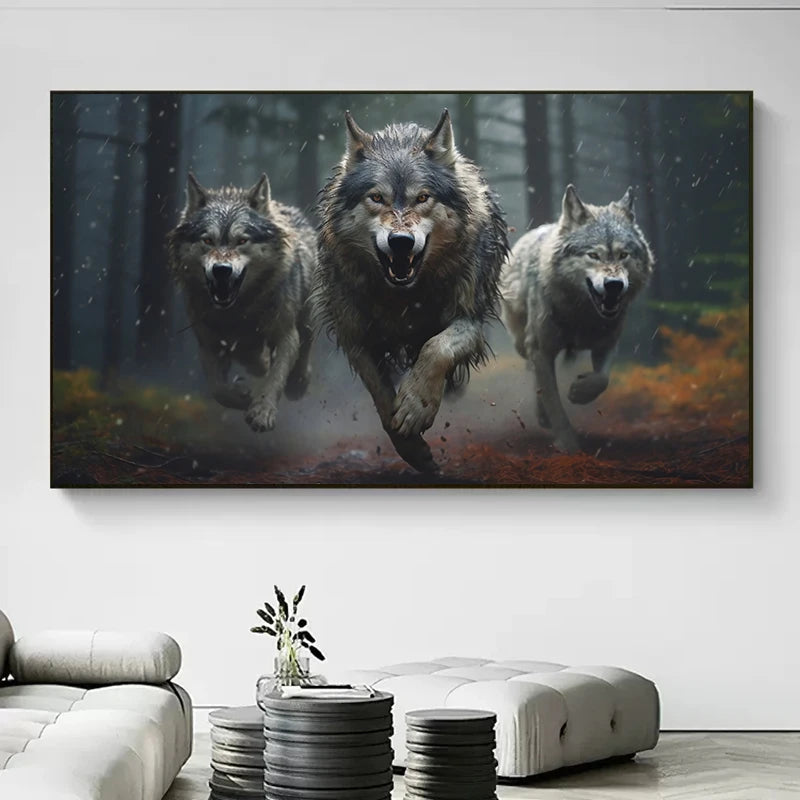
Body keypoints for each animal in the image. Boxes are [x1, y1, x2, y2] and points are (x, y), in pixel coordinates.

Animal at [167, 172, 315, 432]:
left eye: (242, 241)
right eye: (208, 240)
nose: (221, 270)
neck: (237, 312)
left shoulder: (286, 335)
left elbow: (275, 378)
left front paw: (262, 411)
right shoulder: (208, 344)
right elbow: (219, 390)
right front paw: (243, 396)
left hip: (306, 318)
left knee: (304, 346)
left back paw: (298, 383)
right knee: (254, 359)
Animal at [314, 109, 509, 473]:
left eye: (422, 197)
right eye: (377, 197)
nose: (401, 241)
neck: (405, 297)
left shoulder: (470, 319)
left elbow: (437, 348)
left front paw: (416, 407)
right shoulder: (356, 336)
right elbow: (380, 394)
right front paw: (411, 449)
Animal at [500, 184, 654, 453]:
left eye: (623, 254)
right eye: (593, 255)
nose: (614, 284)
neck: (582, 316)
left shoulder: (607, 344)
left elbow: (601, 379)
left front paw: (579, 392)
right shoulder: (541, 349)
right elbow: (554, 403)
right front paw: (568, 445)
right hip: (523, 343)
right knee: (534, 374)